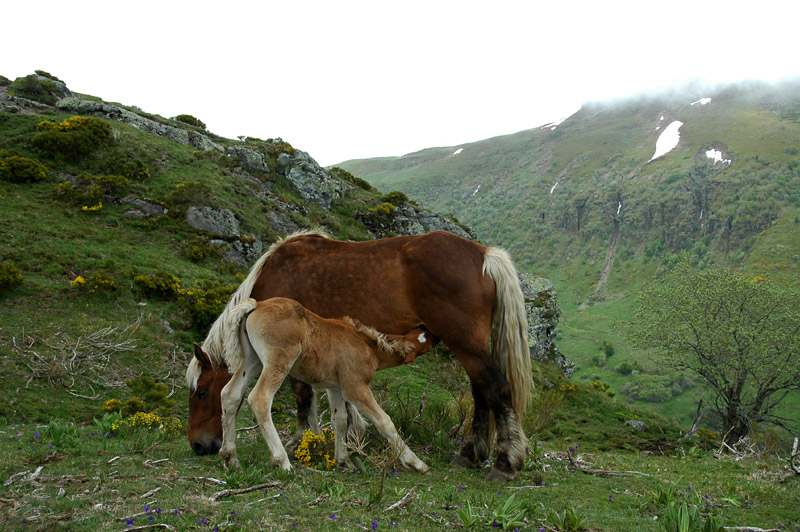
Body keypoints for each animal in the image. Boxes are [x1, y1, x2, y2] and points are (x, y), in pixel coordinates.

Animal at [202, 296, 438, 474]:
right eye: (424, 338)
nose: (433, 331)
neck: (366, 345)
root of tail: (256, 305)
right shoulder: (355, 386)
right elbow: (384, 421)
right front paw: (416, 463)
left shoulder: (335, 387)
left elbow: (340, 420)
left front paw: (343, 460)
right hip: (278, 361)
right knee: (260, 398)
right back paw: (282, 462)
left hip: (252, 360)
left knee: (230, 394)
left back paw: (230, 458)